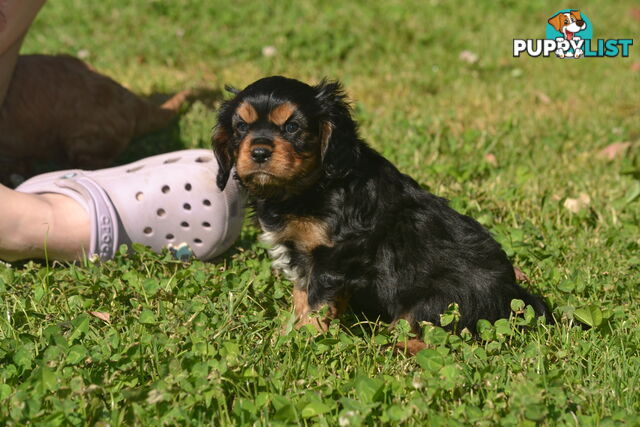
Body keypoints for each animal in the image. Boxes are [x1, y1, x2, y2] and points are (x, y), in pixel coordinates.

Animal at [214, 77, 552, 354]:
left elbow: (316, 303)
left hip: (438, 302)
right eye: (241, 127)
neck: (312, 186)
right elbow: (302, 297)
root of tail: (513, 294)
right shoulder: (304, 257)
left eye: (292, 127)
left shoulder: (332, 256)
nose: (258, 152)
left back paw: (387, 346)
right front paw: (287, 334)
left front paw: (305, 338)